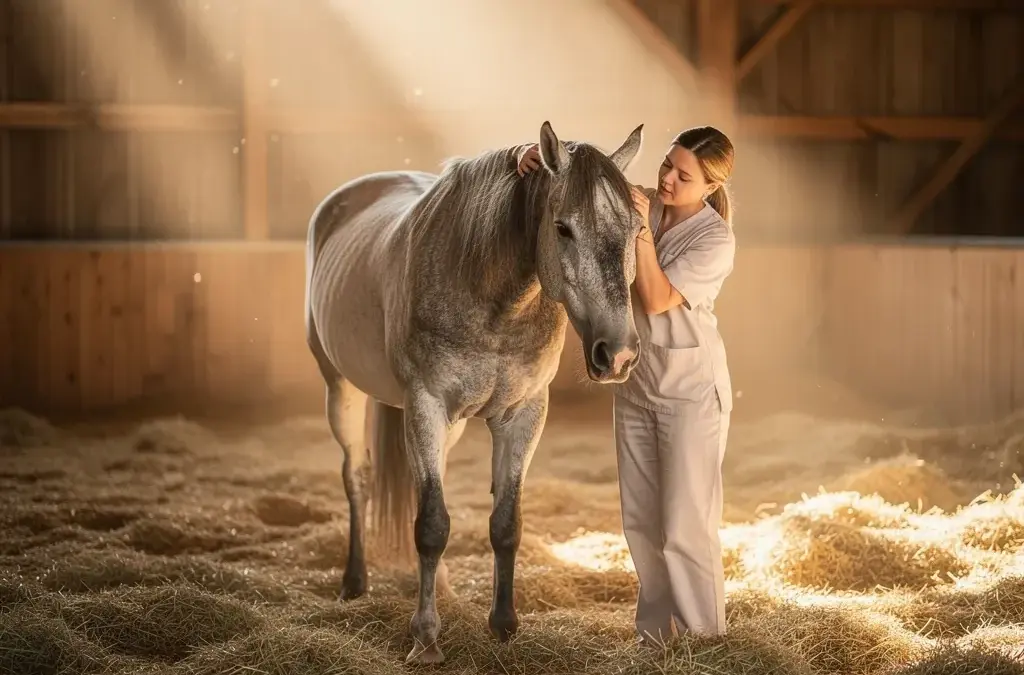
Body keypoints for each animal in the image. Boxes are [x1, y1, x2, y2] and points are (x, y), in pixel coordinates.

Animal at [304, 121, 644, 664]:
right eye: (563, 228)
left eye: (637, 229)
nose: (618, 355)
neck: (495, 301)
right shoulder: (425, 405)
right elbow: (431, 526)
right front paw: (425, 639)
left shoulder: (524, 414)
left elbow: (504, 523)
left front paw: (503, 625)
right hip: (343, 390)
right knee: (357, 476)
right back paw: (354, 582)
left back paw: (440, 589)